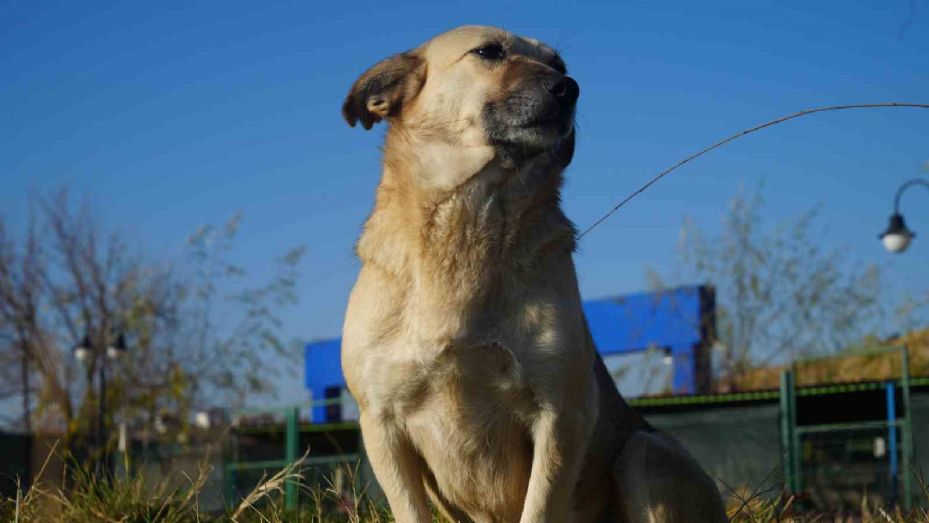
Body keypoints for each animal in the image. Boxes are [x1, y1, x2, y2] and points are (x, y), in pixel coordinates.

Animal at [338, 25, 724, 523]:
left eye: (559, 65)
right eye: (488, 52)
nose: (570, 88)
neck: (473, 221)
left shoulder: (559, 415)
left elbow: (539, 508)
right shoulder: (381, 423)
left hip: (645, 450)